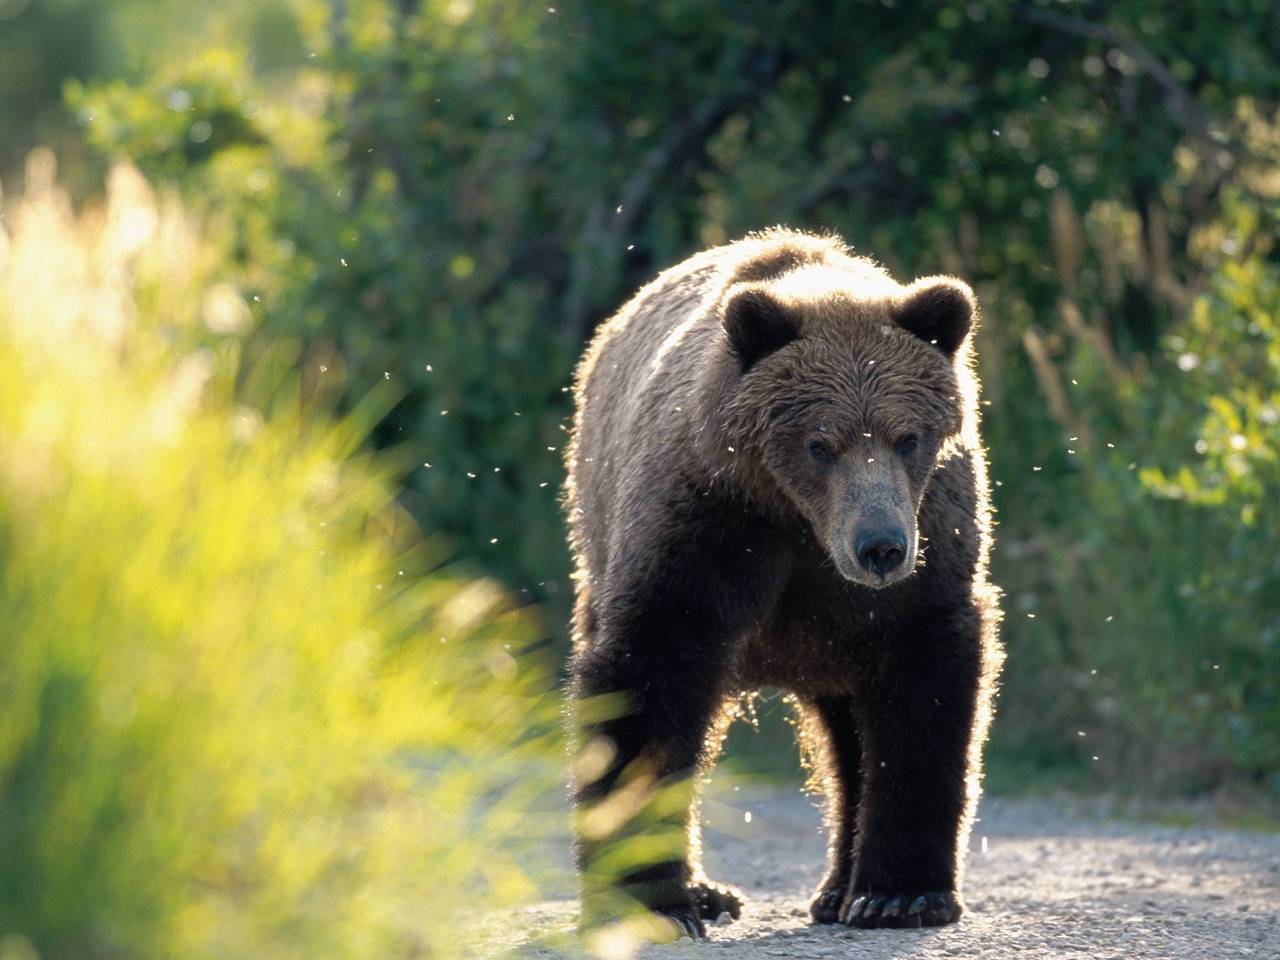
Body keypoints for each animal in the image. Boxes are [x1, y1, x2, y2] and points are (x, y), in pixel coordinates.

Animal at [564, 228, 1003, 941]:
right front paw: (654, 898)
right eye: (819, 444)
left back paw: (838, 892)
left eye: (908, 438)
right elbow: (650, 671)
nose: (881, 548)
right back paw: (713, 892)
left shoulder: (927, 553)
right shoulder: (708, 521)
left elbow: (923, 699)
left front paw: (902, 895)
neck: (800, 524)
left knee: (850, 736)